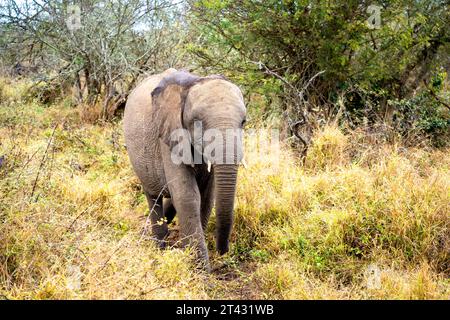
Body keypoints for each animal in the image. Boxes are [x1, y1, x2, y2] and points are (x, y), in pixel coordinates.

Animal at [124, 68, 246, 270]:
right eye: (198, 122)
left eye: (244, 122)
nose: (223, 252)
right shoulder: (169, 135)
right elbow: (187, 195)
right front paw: (201, 271)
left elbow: (207, 196)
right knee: (153, 196)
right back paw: (159, 246)